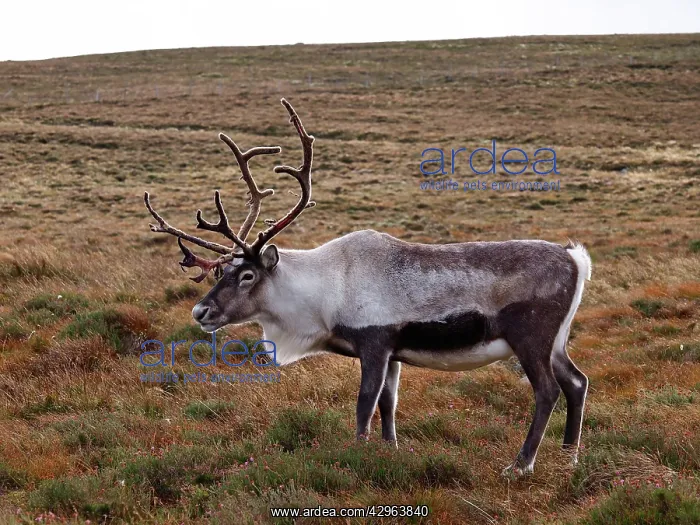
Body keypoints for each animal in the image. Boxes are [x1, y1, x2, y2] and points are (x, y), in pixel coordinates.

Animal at [144, 98, 592, 477]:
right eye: (221, 271)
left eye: (248, 275)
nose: (201, 312)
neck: (326, 291)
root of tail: (576, 259)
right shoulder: (395, 351)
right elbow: (389, 405)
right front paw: (391, 449)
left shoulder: (374, 343)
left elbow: (365, 405)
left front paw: (358, 454)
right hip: (556, 341)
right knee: (577, 382)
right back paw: (568, 457)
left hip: (530, 337)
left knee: (548, 391)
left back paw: (521, 464)